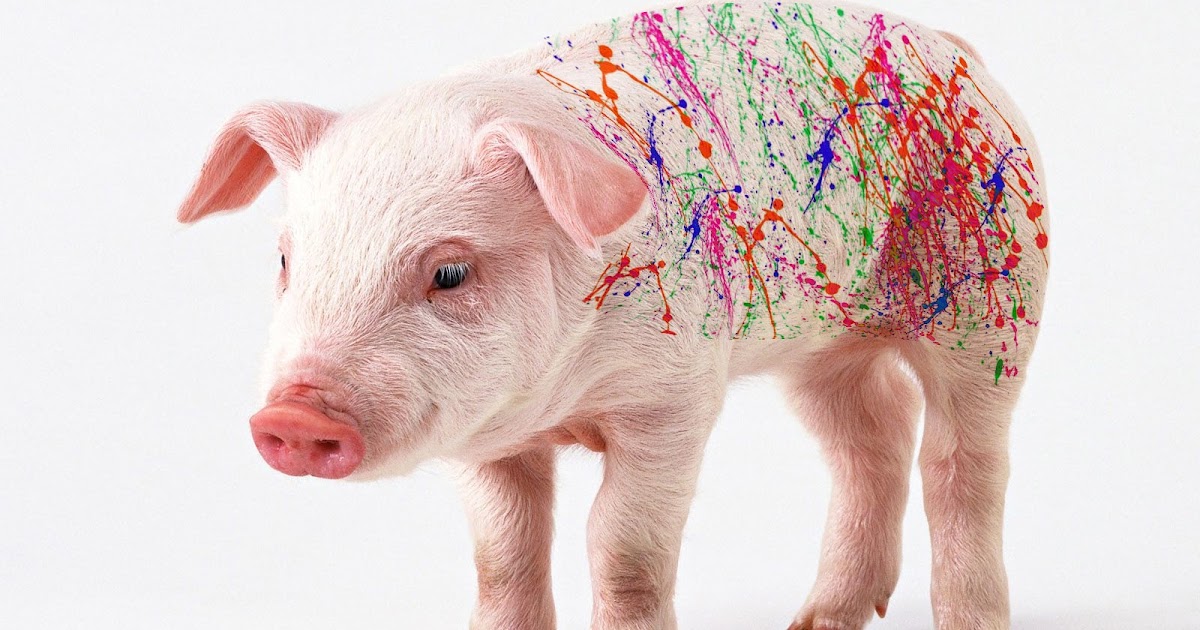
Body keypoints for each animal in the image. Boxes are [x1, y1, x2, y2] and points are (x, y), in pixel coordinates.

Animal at [177, 2, 1048, 629]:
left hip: (995, 304)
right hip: (822, 347)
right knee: (875, 431)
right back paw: (820, 621)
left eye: (450, 271)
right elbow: (503, 556)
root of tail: (954, 48)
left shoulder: (674, 399)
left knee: (963, 463)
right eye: (285, 260)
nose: (294, 415)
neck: (563, 402)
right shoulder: (483, 434)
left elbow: (623, 551)